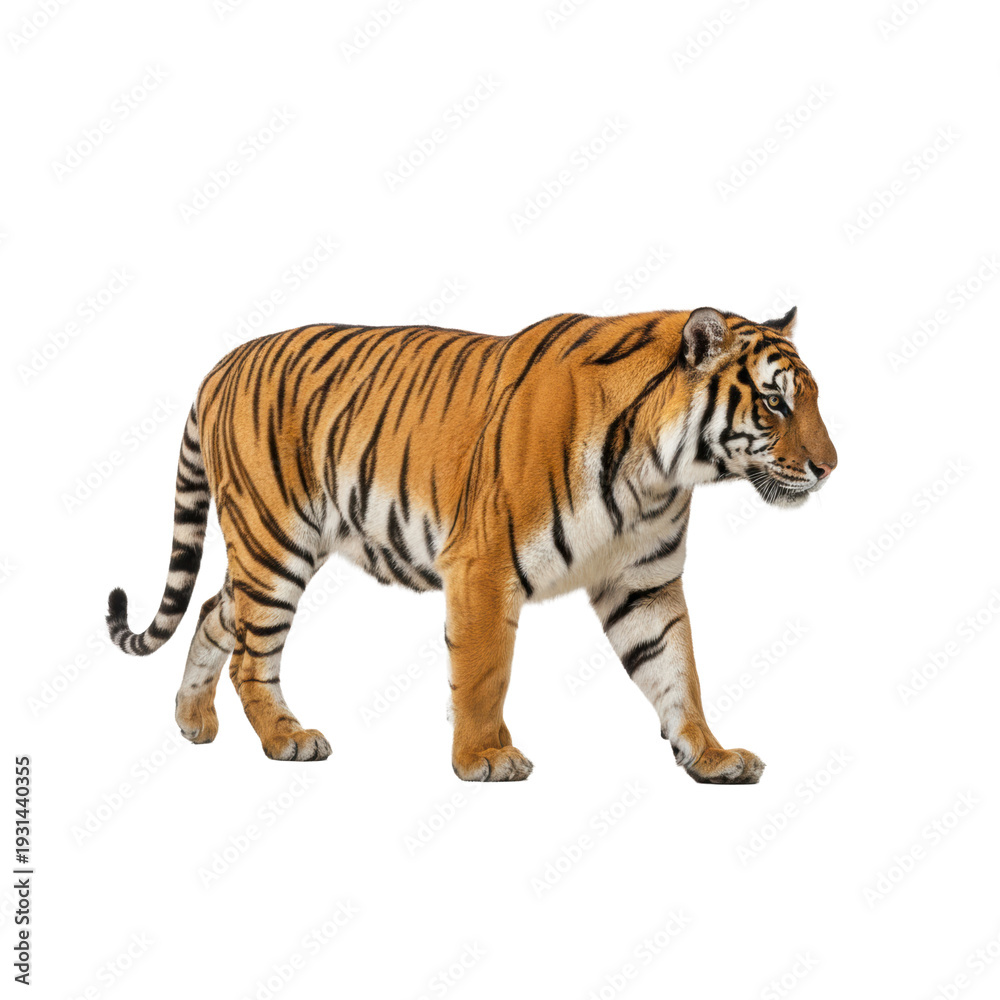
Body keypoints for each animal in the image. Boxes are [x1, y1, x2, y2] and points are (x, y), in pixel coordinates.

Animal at [106, 305, 836, 783]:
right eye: (774, 404)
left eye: (812, 399)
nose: (831, 467)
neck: (658, 473)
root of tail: (222, 363)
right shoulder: (484, 565)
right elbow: (485, 672)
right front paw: (485, 757)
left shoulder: (645, 582)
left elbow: (677, 671)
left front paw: (711, 756)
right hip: (275, 542)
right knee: (250, 654)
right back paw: (287, 738)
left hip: (266, 550)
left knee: (211, 613)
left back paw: (193, 721)